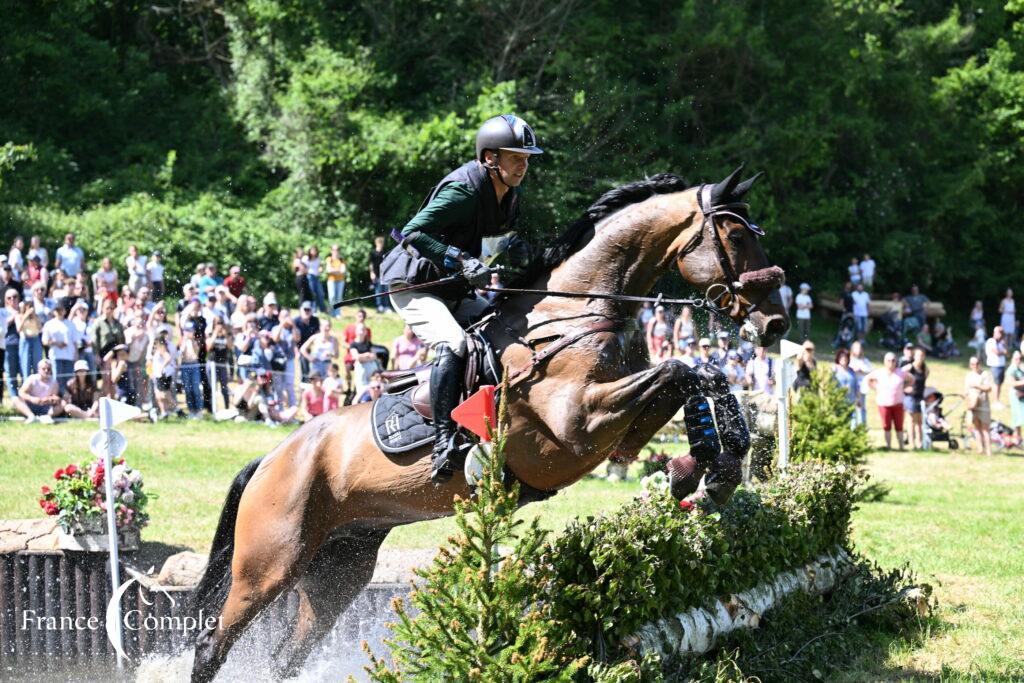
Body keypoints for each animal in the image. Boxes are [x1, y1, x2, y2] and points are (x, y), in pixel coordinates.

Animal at [188, 166, 786, 683]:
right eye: (735, 235)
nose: (775, 322)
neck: (576, 312)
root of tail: (271, 457)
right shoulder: (578, 426)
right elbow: (680, 368)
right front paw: (709, 467)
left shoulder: (619, 426)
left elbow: (697, 377)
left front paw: (708, 468)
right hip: (268, 564)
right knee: (212, 641)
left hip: (339, 566)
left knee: (287, 654)